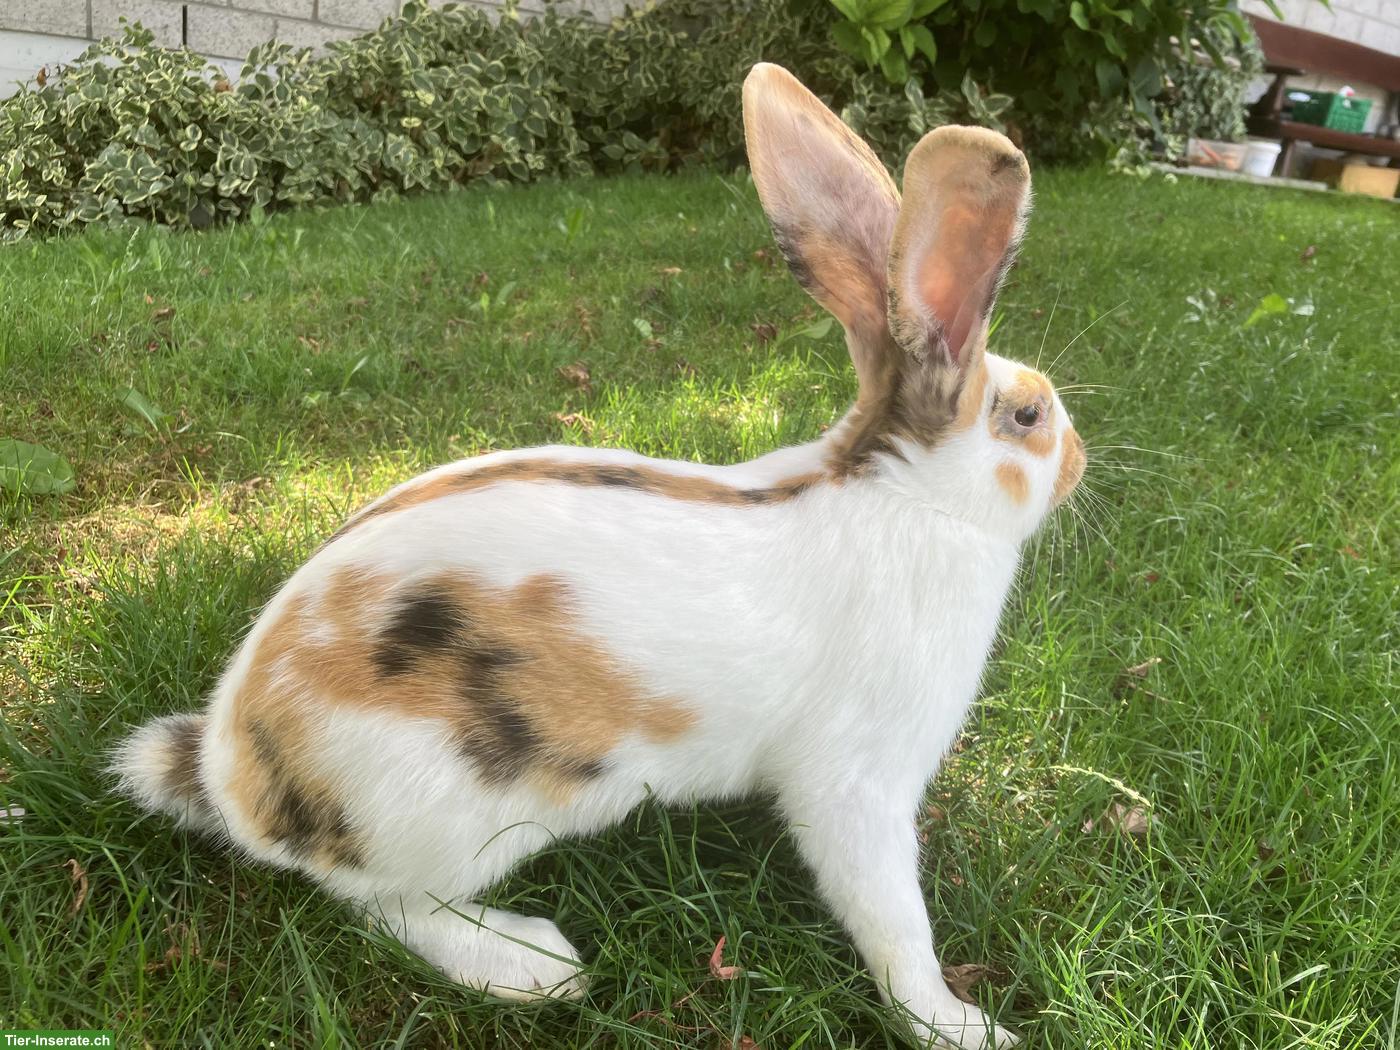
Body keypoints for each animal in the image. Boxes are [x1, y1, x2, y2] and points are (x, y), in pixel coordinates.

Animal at [111, 62, 1084, 1050]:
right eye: (1028, 415)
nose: (1080, 459)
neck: (908, 495)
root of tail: (232, 771)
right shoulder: (858, 787)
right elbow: (893, 924)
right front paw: (962, 1025)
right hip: (455, 816)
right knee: (390, 906)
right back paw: (536, 964)